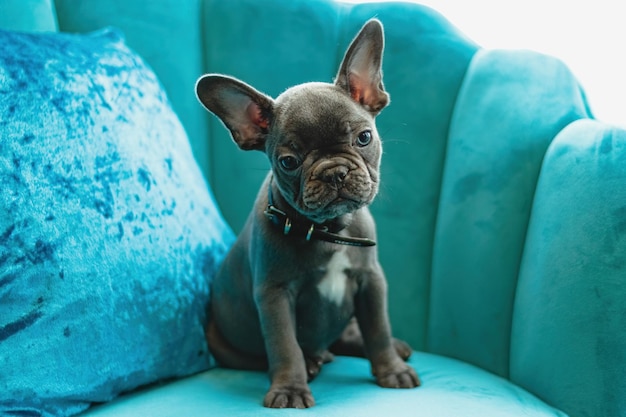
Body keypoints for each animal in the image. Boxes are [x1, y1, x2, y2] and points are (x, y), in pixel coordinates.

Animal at [195, 18, 420, 406]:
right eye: (289, 161)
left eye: (364, 138)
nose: (334, 172)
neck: (329, 229)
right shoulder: (274, 295)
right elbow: (285, 346)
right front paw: (289, 389)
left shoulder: (371, 281)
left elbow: (377, 327)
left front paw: (391, 369)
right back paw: (313, 362)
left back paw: (392, 347)